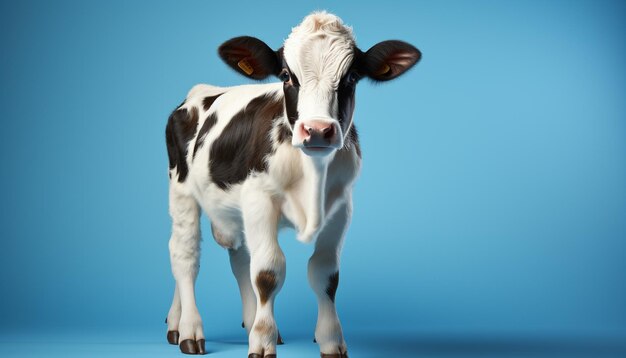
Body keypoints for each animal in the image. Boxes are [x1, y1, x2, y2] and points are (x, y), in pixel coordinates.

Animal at [165, 11, 420, 358]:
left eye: (352, 77)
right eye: (286, 76)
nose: (317, 130)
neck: (311, 176)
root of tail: (199, 91)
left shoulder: (340, 207)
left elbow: (325, 274)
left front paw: (330, 340)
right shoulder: (260, 200)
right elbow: (267, 272)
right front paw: (262, 342)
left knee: (238, 258)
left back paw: (190, 322)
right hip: (181, 189)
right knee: (184, 254)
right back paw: (190, 329)